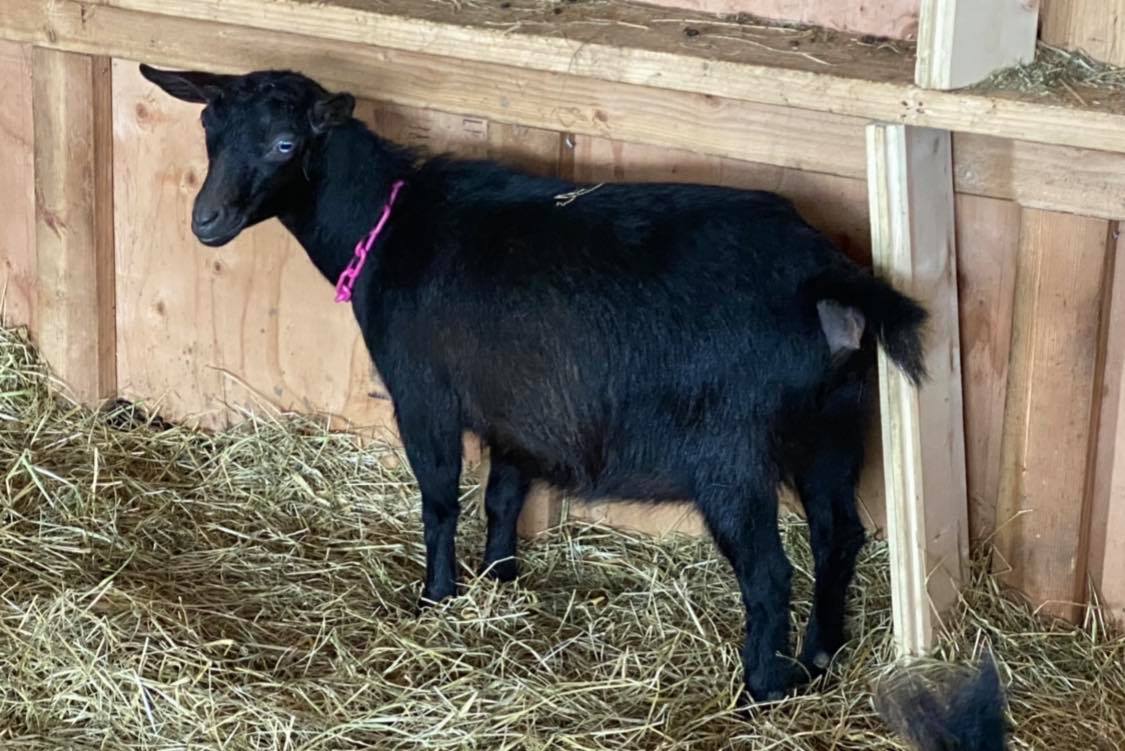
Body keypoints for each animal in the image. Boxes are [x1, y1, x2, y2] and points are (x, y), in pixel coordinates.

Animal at [141, 63, 928, 703]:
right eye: (210, 130)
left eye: (284, 145)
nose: (206, 221)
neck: (386, 223)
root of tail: (825, 280)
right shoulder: (514, 408)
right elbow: (502, 494)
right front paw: (498, 578)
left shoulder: (425, 394)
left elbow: (439, 499)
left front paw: (436, 596)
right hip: (835, 424)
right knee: (838, 535)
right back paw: (819, 656)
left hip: (729, 450)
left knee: (767, 574)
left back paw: (760, 690)